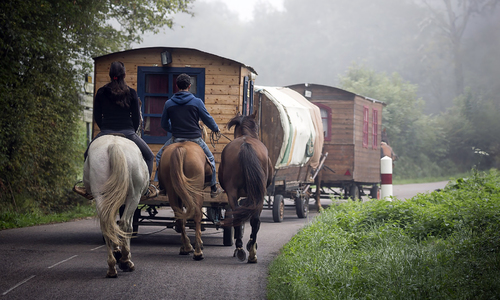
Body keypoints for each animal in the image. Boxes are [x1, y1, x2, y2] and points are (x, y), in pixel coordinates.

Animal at [83, 135, 149, 278]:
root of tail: (114, 145)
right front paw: (124, 257)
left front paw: (117, 253)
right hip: (134, 197)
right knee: (125, 225)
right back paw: (125, 261)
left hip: (101, 196)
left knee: (106, 225)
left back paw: (112, 266)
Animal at [219, 110, 274, 262]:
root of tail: (245, 145)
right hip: (258, 194)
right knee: (253, 219)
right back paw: (250, 250)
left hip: (235, 193)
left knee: (241, 217)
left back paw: (241, 249)